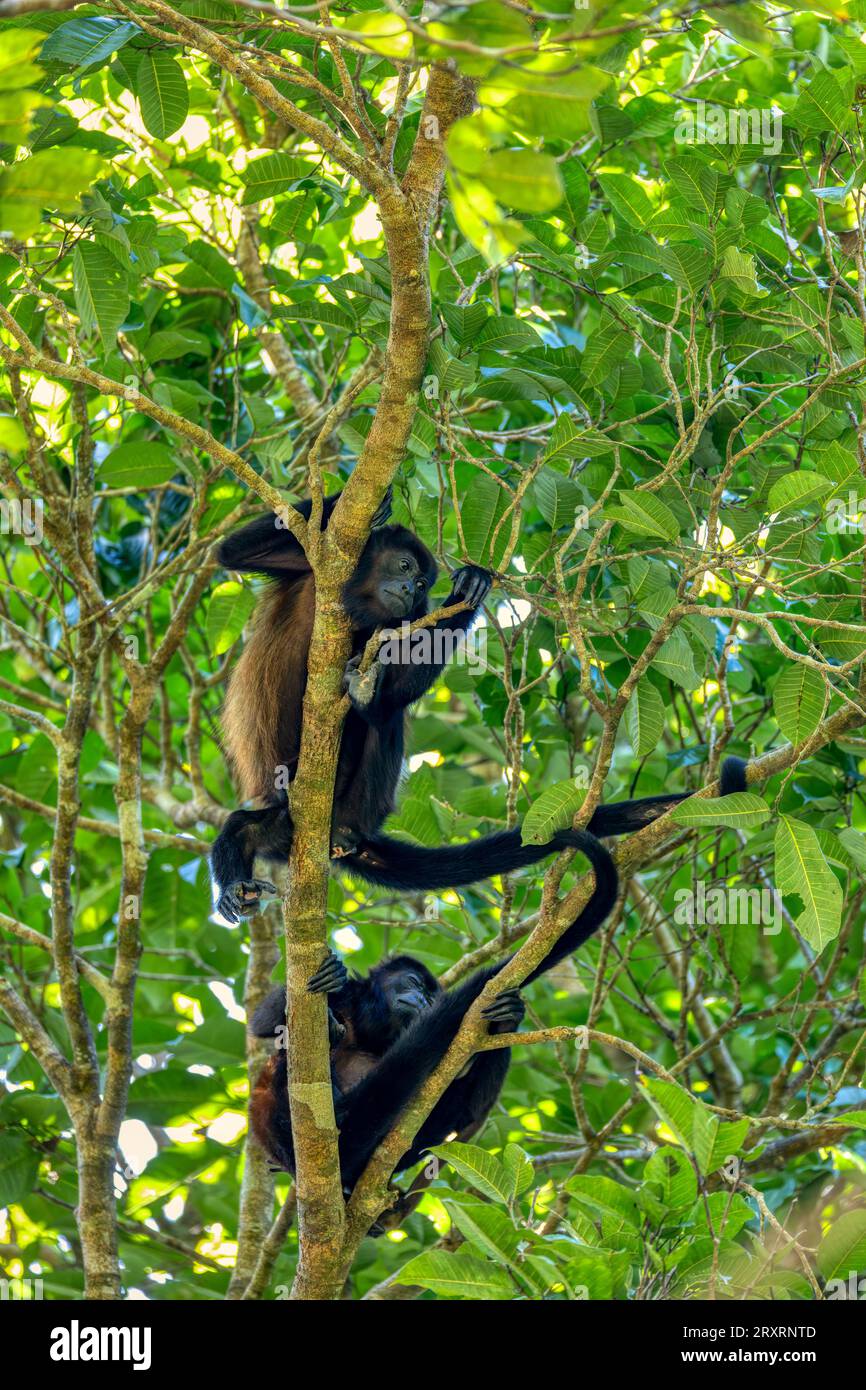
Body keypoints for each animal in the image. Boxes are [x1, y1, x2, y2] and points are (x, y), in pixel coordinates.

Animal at [211, 489, 750, 922]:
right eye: (404, 567)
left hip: (358, 805)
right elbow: (232, 552)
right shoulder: (308, 561)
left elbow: (404, 686)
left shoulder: (408, 618)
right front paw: (362, 501)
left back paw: (359, 740)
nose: (408, 588)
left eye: (422, 585)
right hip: (281, 825)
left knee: (384, 718)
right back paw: (236, 887)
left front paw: (469, 589)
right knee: (240, 829)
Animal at [247, 822, 619, 1195]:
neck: (370, 1034)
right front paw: (332, 977)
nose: (421, 1000)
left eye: (429, 996)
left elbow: (467, 1112)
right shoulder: (348, 997)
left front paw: (509, 1017)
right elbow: (264, 1023)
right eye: (413, 982)